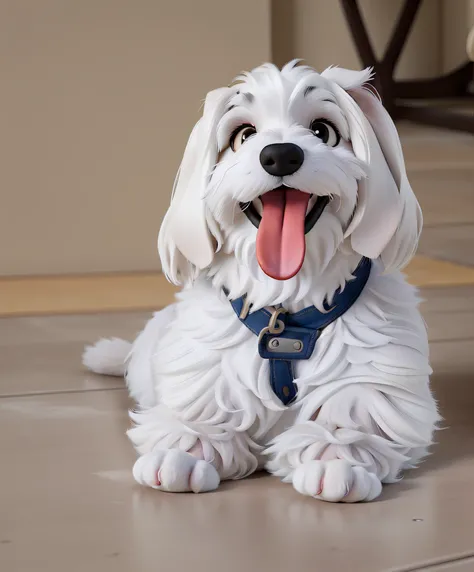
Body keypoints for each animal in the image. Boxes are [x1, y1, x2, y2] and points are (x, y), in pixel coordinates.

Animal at [84, 60, 440, 502]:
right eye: (243, 135)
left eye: (323, 131)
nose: (280, 154)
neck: (287, 308)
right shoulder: (208, 380)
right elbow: (198, 421)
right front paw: (185, 452)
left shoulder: (370, 386)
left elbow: (348, 422)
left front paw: (335, 457)